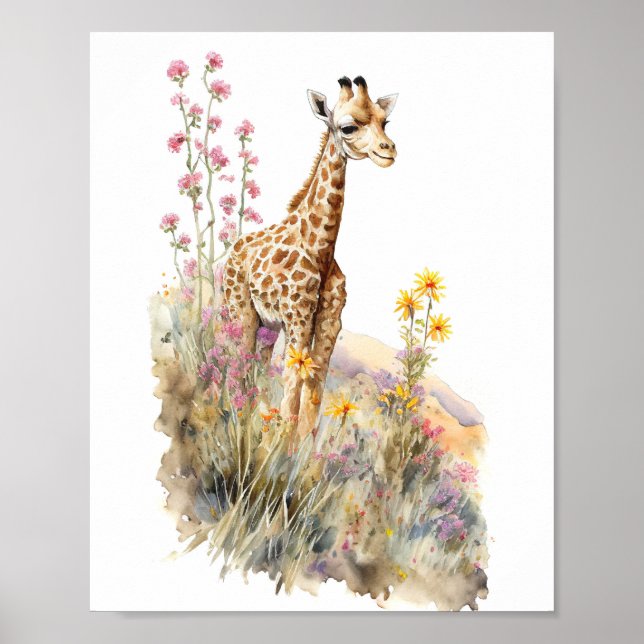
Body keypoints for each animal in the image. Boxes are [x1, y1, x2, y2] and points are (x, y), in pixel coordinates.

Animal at [222, 75, 398, 441]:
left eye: (384, 122)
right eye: (348, 127)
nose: (388, 150)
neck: (321, 249)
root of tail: (234, 251)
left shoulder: (329, 320)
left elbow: (314, 394)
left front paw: (303, 454)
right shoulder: (298, 316)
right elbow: (293, 392)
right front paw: (283, 453)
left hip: (268, 325)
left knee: (256, 371)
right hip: (241, 311)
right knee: (237, 366)